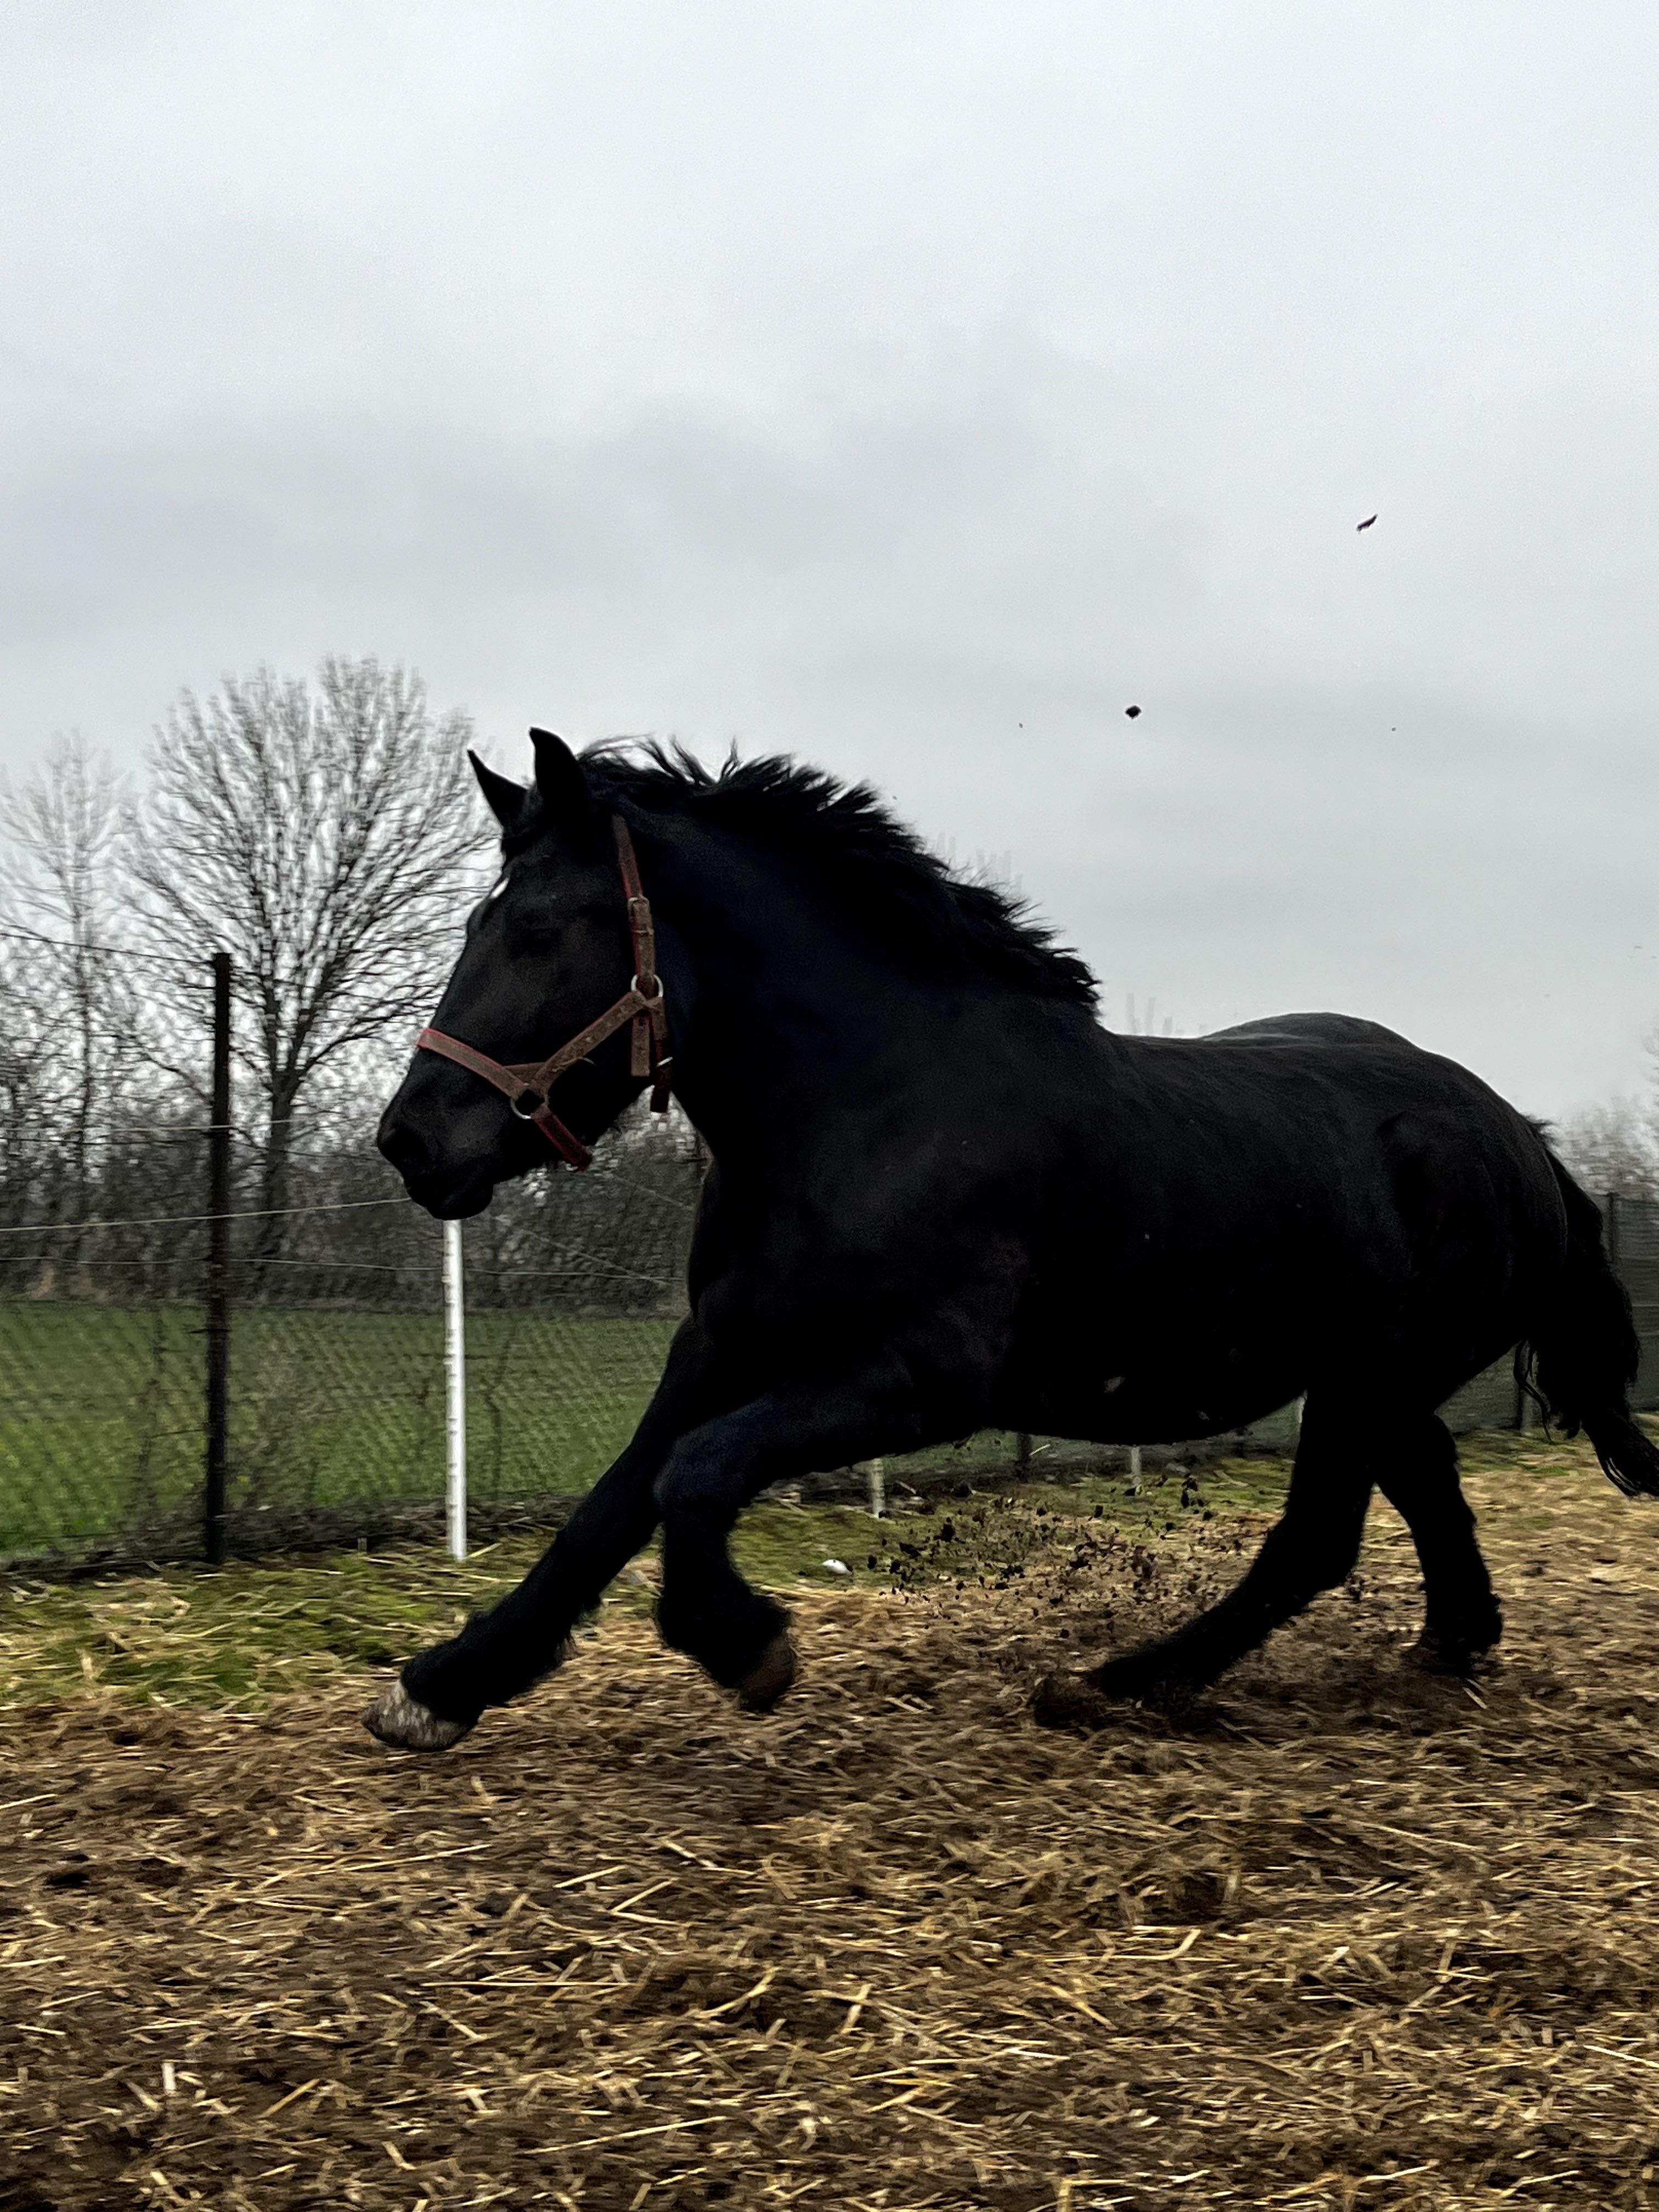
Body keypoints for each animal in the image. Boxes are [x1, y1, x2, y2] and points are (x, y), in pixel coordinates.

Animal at [369, 734, 1654, 1752]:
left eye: (537, 929)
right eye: (479, 922)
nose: (409, 1139)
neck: (865, 1109)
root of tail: (1523, 1139)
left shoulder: (927, 1379)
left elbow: (694, 1476)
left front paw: (742, 1643)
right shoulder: (722, 1347)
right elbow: (609, 1507)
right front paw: (442, 1687)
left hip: (1362, 1382)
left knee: (1315, 1539)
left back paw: (1124, 1680)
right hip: (1371, 1383)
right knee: (1423, 1486)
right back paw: (1449, 1642)